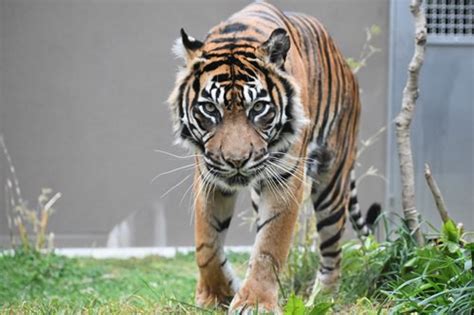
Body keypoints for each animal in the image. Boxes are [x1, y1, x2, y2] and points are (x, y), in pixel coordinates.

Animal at [168, 0, 380, 314]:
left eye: (258, 108)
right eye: (209, 109)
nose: (236, 161)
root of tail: (346, 66)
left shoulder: (285, 178)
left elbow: (269, 244)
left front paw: (254, 302)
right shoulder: (209, 175)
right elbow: (206, 243)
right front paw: (216, 295)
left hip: (331, 182)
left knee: (332, 251)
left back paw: (323, 299)